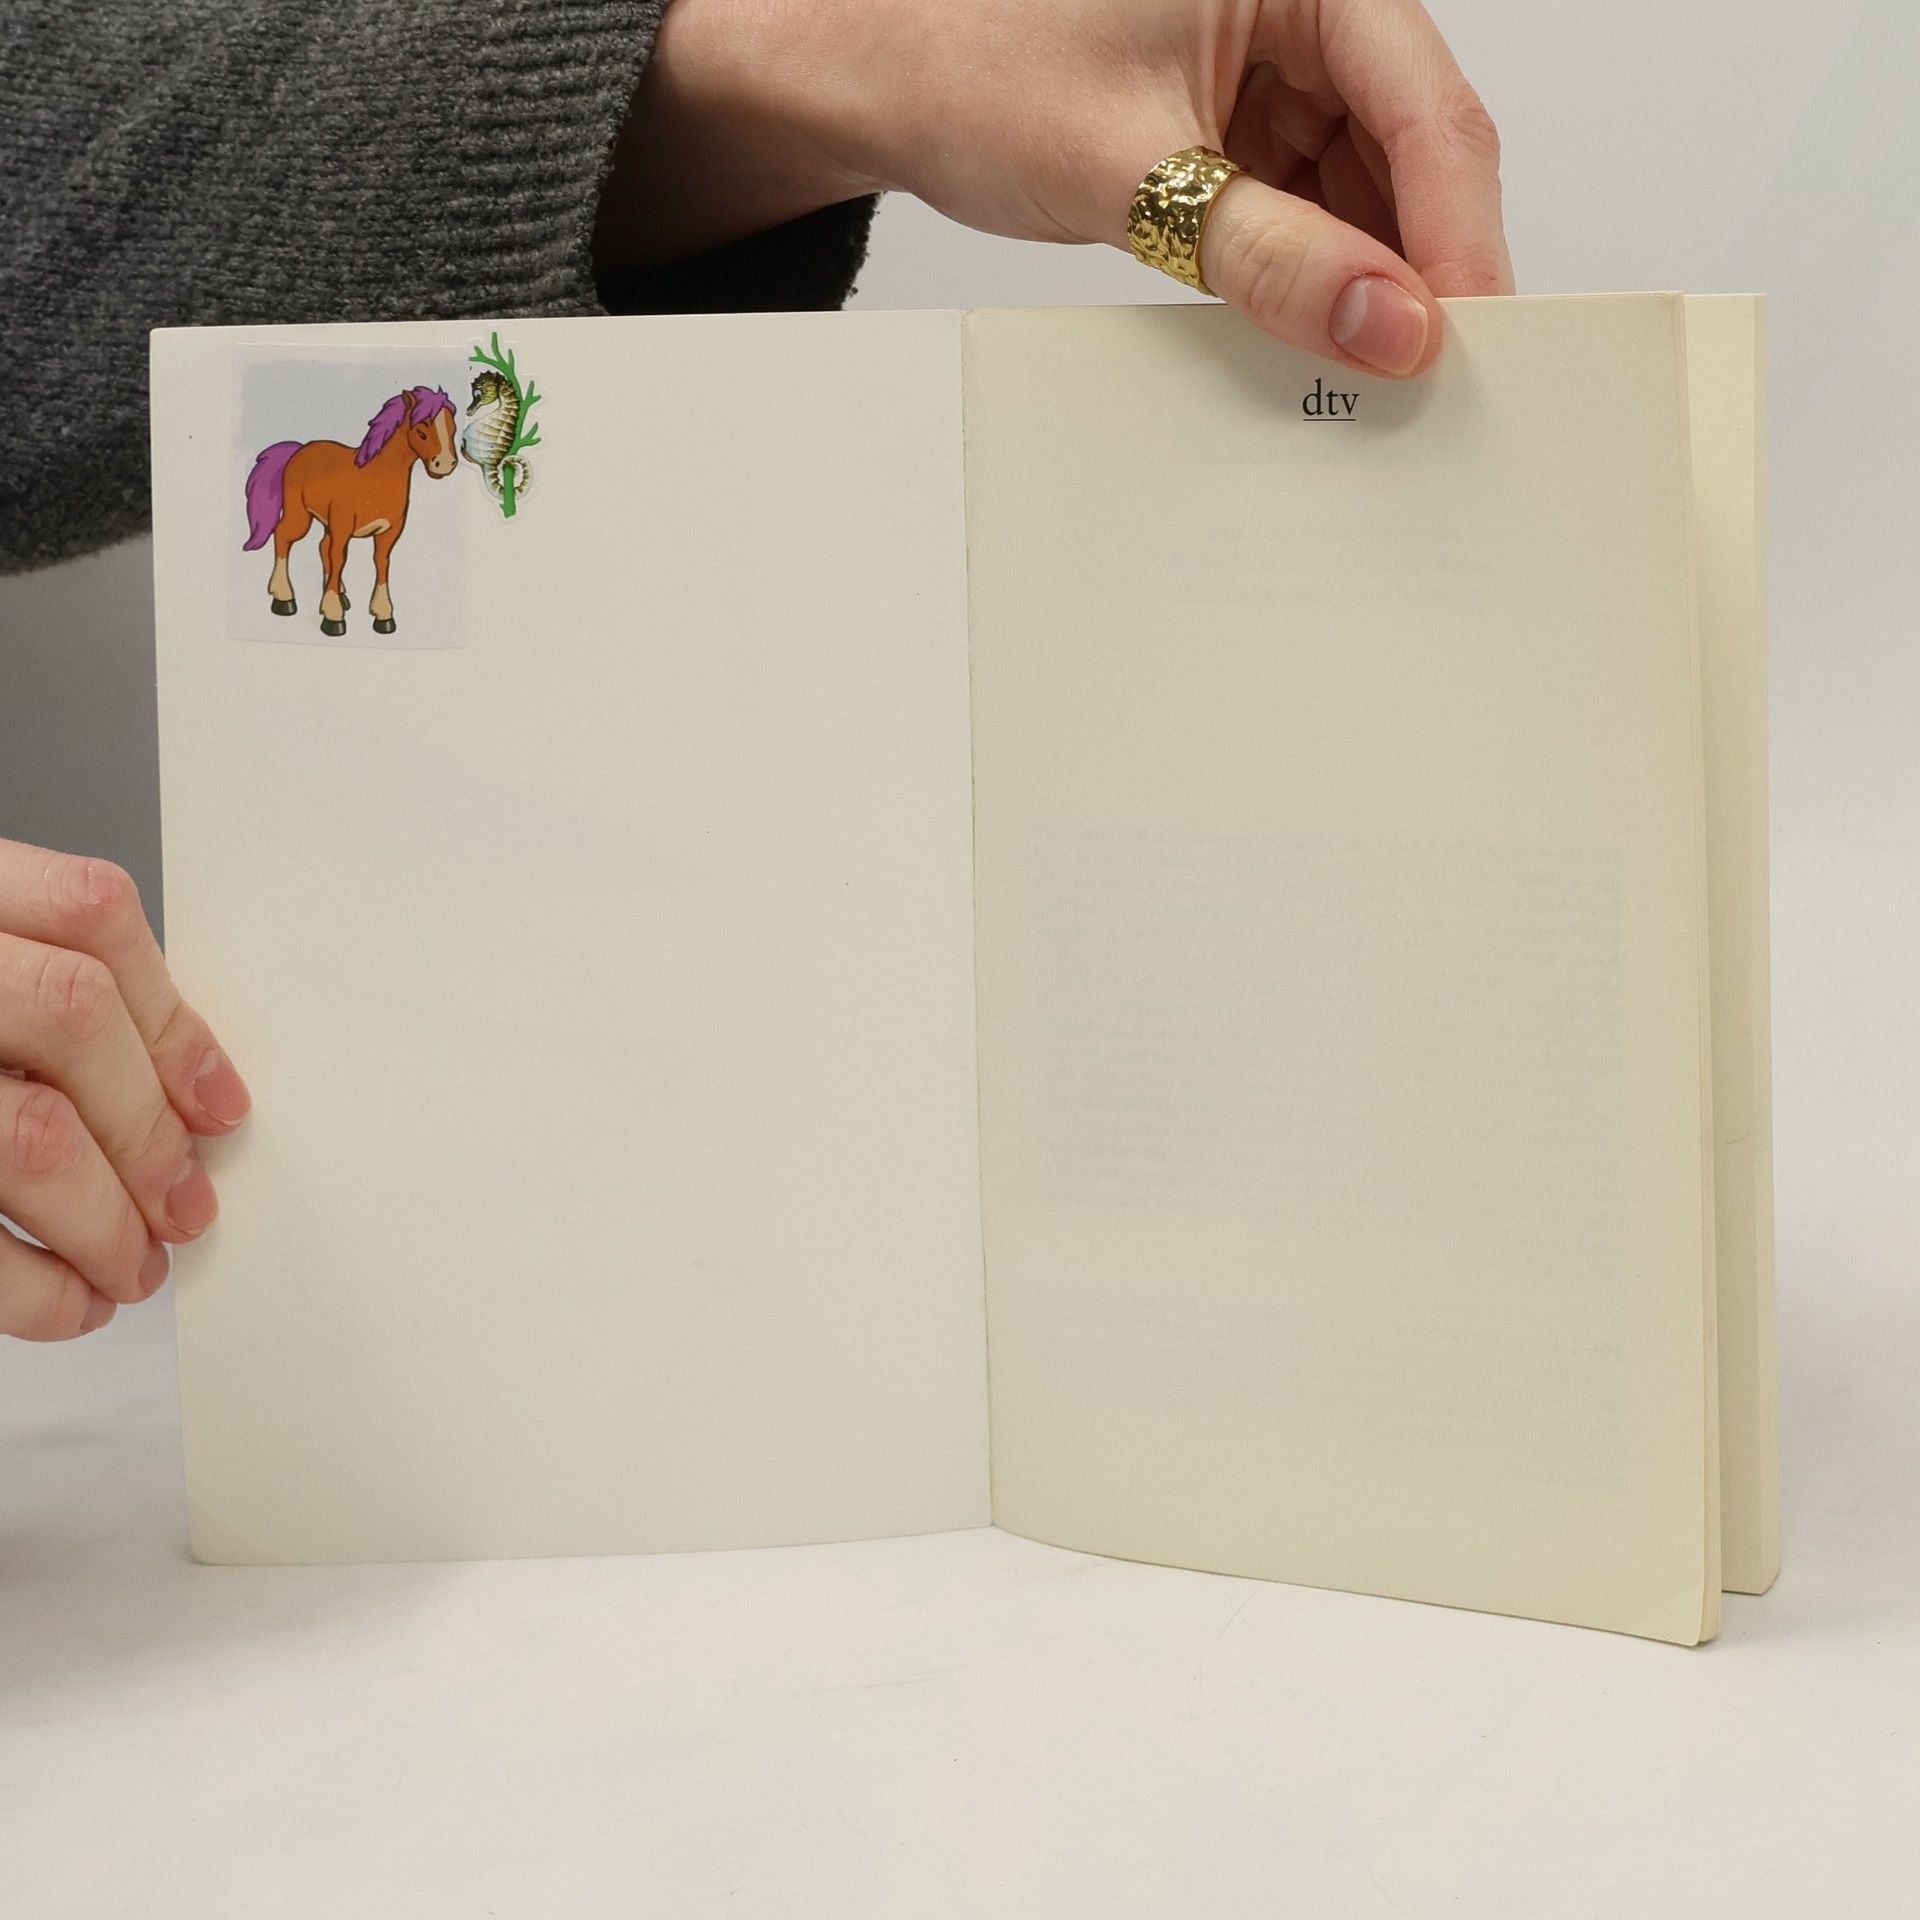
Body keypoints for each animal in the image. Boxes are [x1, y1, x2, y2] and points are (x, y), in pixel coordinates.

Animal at [242, 386, 458, 637]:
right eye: (421, 432)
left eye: (452, 429)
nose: (445, 464)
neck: (375, 477)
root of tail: (301, 449)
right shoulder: (343, 526)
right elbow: (339, 558)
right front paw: (333, 616)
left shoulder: (389, 531)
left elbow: (381, 562)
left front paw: (383, 615)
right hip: (301, 514)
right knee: (284, 536)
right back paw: (284, 598)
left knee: (323, 546)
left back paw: (337, 594)